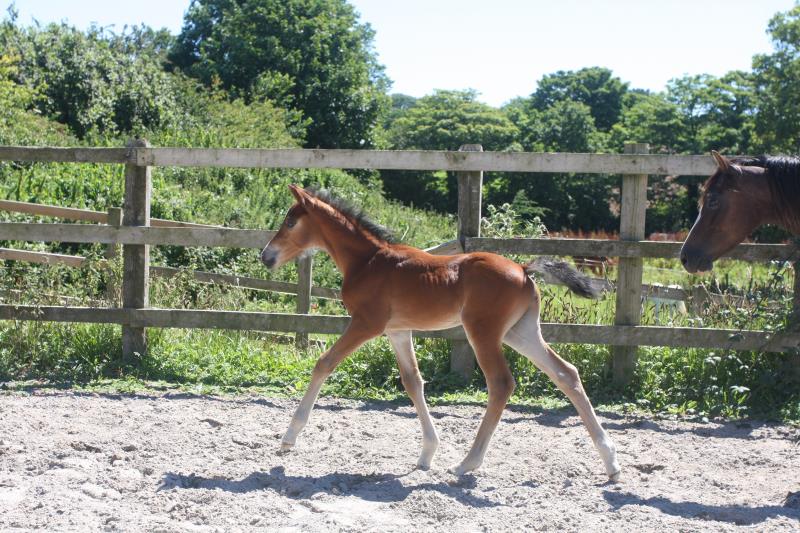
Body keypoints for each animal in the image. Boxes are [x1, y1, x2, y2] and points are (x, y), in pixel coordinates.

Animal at [260, 185, 620, 480]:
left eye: (290, 222)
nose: (266, 256)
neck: (367, 261)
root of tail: (523, 269)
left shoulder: (366, 323)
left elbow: (324, 363)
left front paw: (288, 438)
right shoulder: (397, 331)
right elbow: (413, 382)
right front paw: (427, 453)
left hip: (483, 332)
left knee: (501, 383)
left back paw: (467, 463)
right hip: (521, 332)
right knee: (566, 373)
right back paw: (611, 462)